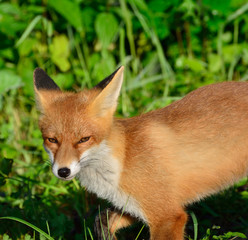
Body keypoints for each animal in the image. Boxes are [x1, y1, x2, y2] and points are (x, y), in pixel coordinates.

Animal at [33, 67, 248, 240]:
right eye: (52, 140)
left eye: (84, 139)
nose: (63, 171)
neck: (123, 160)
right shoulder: (132, 205)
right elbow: (102, 220)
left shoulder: (168, 215)